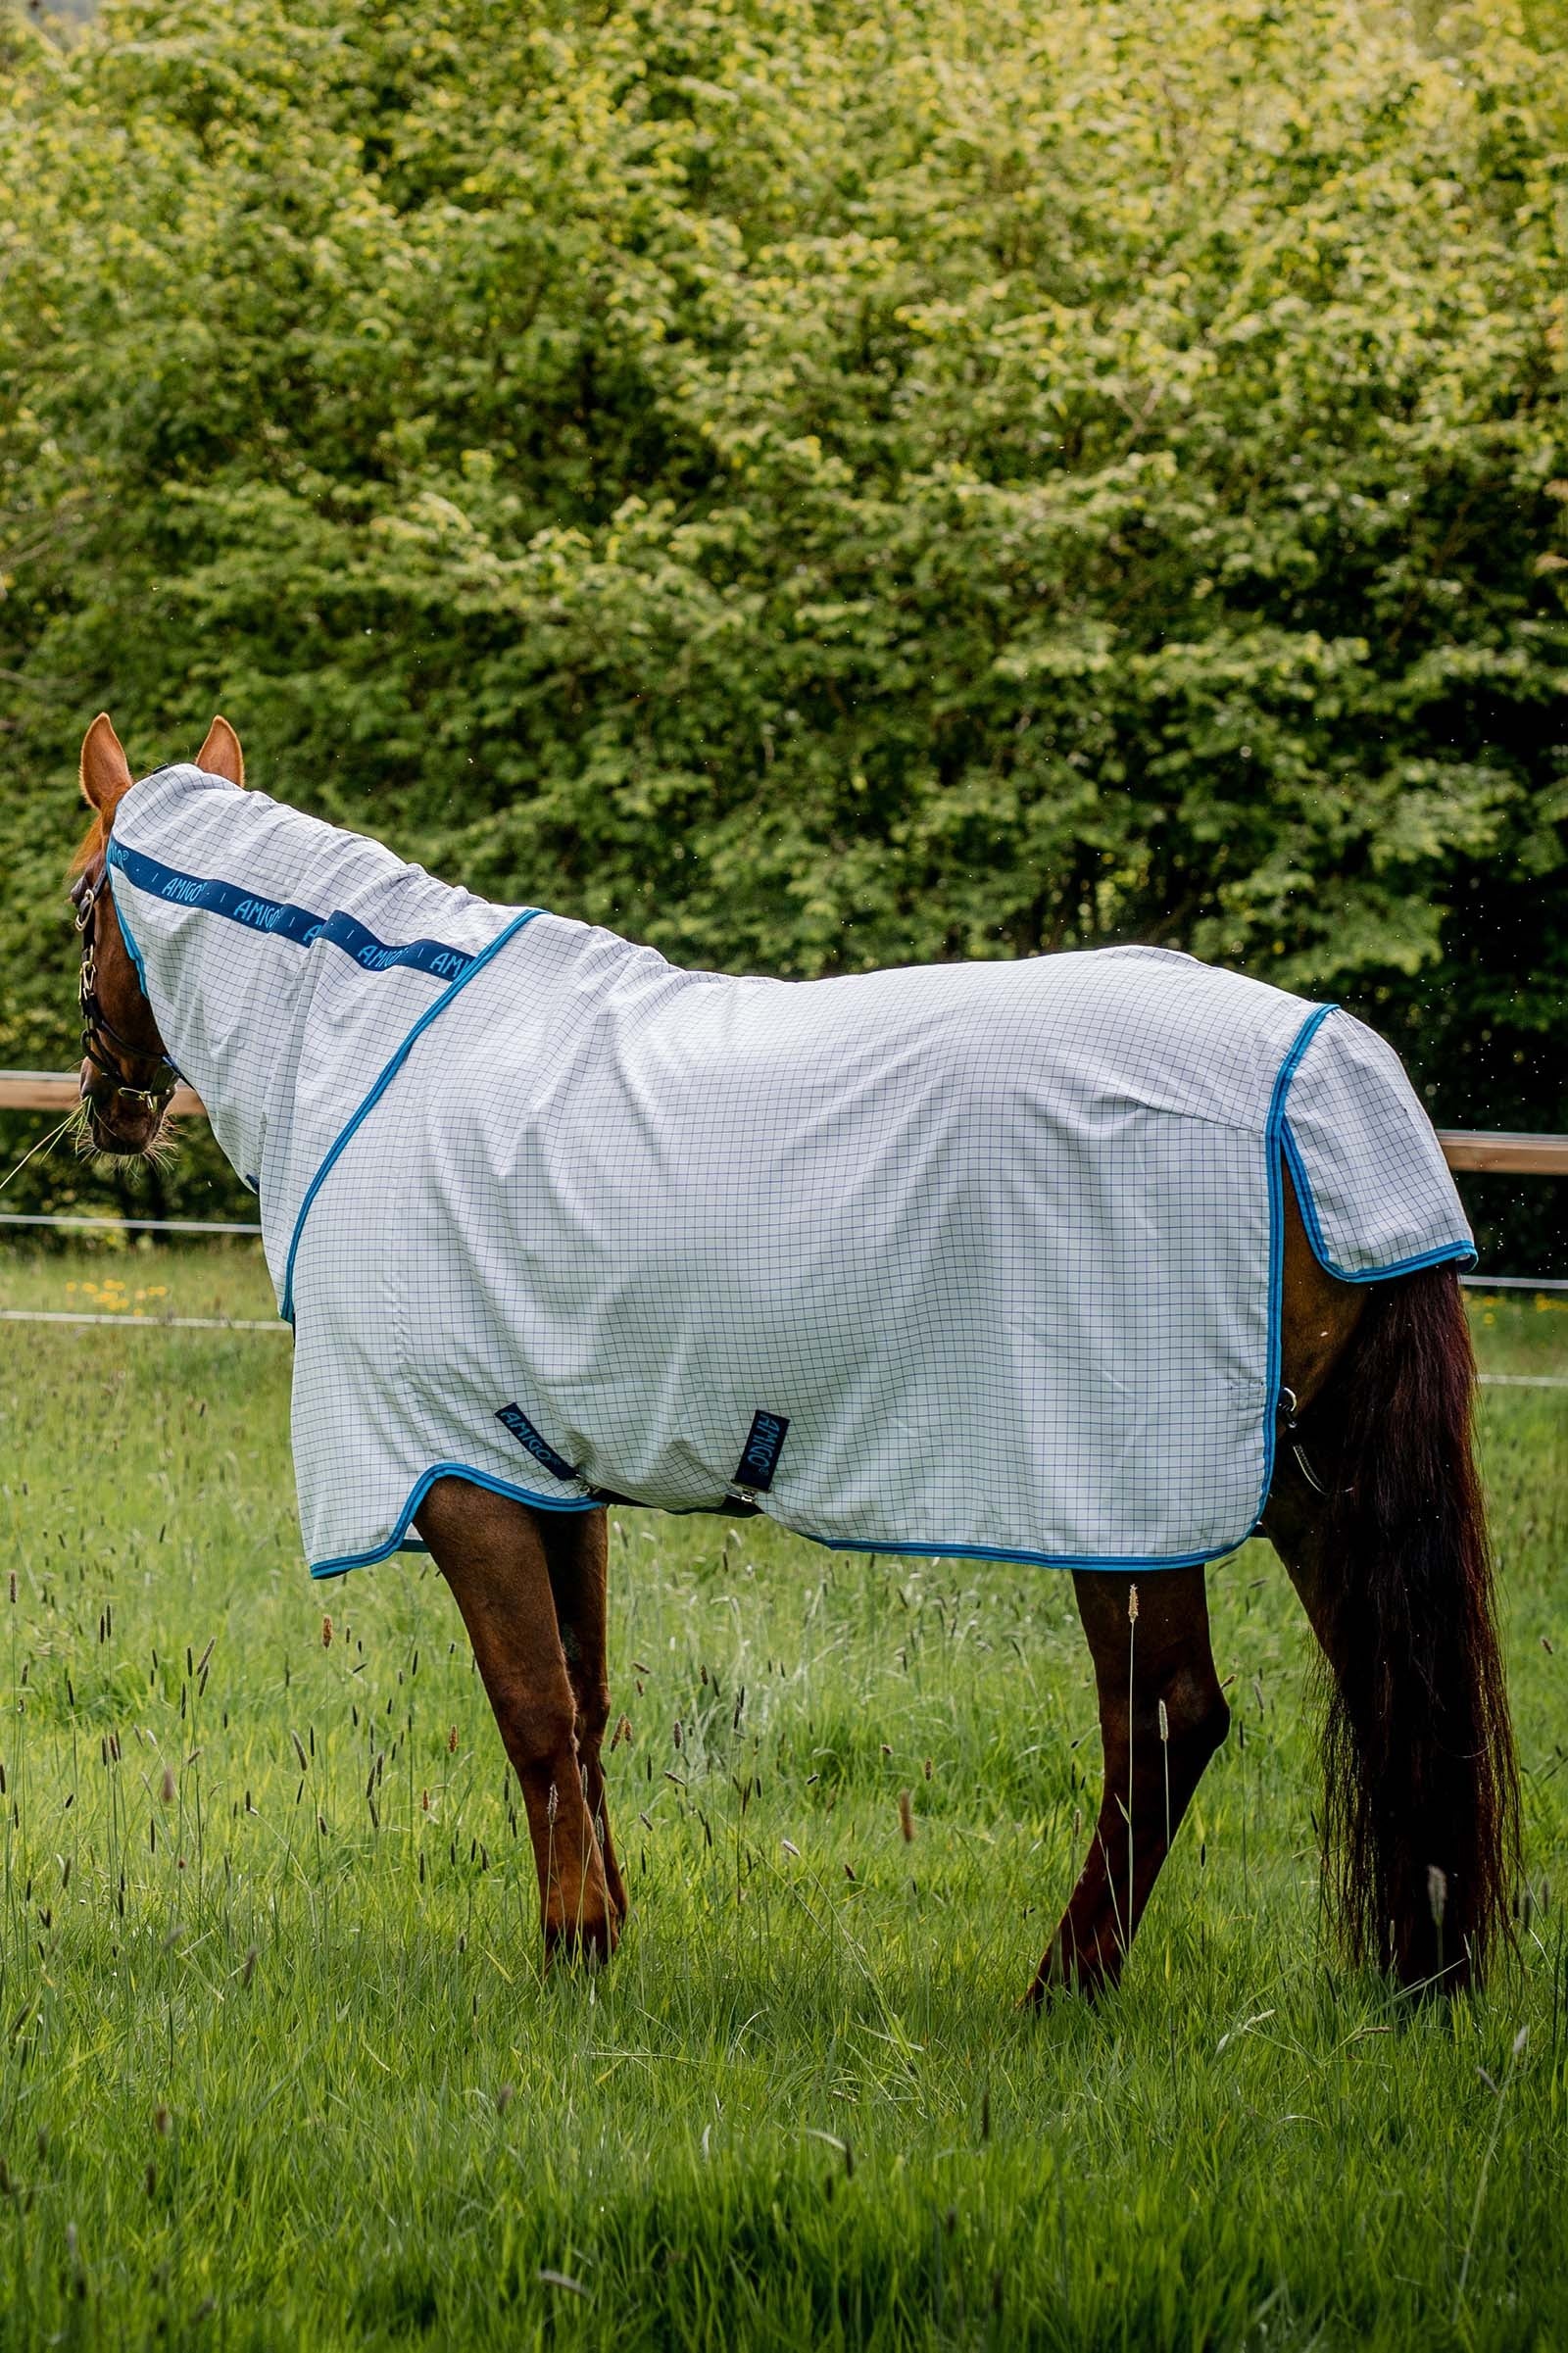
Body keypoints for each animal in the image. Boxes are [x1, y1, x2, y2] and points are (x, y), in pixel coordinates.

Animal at [66, 711, 1519, 1998]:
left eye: (82, 896)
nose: (112, 1108)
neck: (382, 1051)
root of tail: (1323, 1080)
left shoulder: (456, 1475)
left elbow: (531, 1712)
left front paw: (569, 1954)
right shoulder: (547, 1470)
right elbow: (586, 1708)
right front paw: (607, 1932)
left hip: (1126, 1505)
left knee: (1166, 1719)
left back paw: (1063, 1989)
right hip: (1312, 1489)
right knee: (1391, 1696)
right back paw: (1418, 1979)